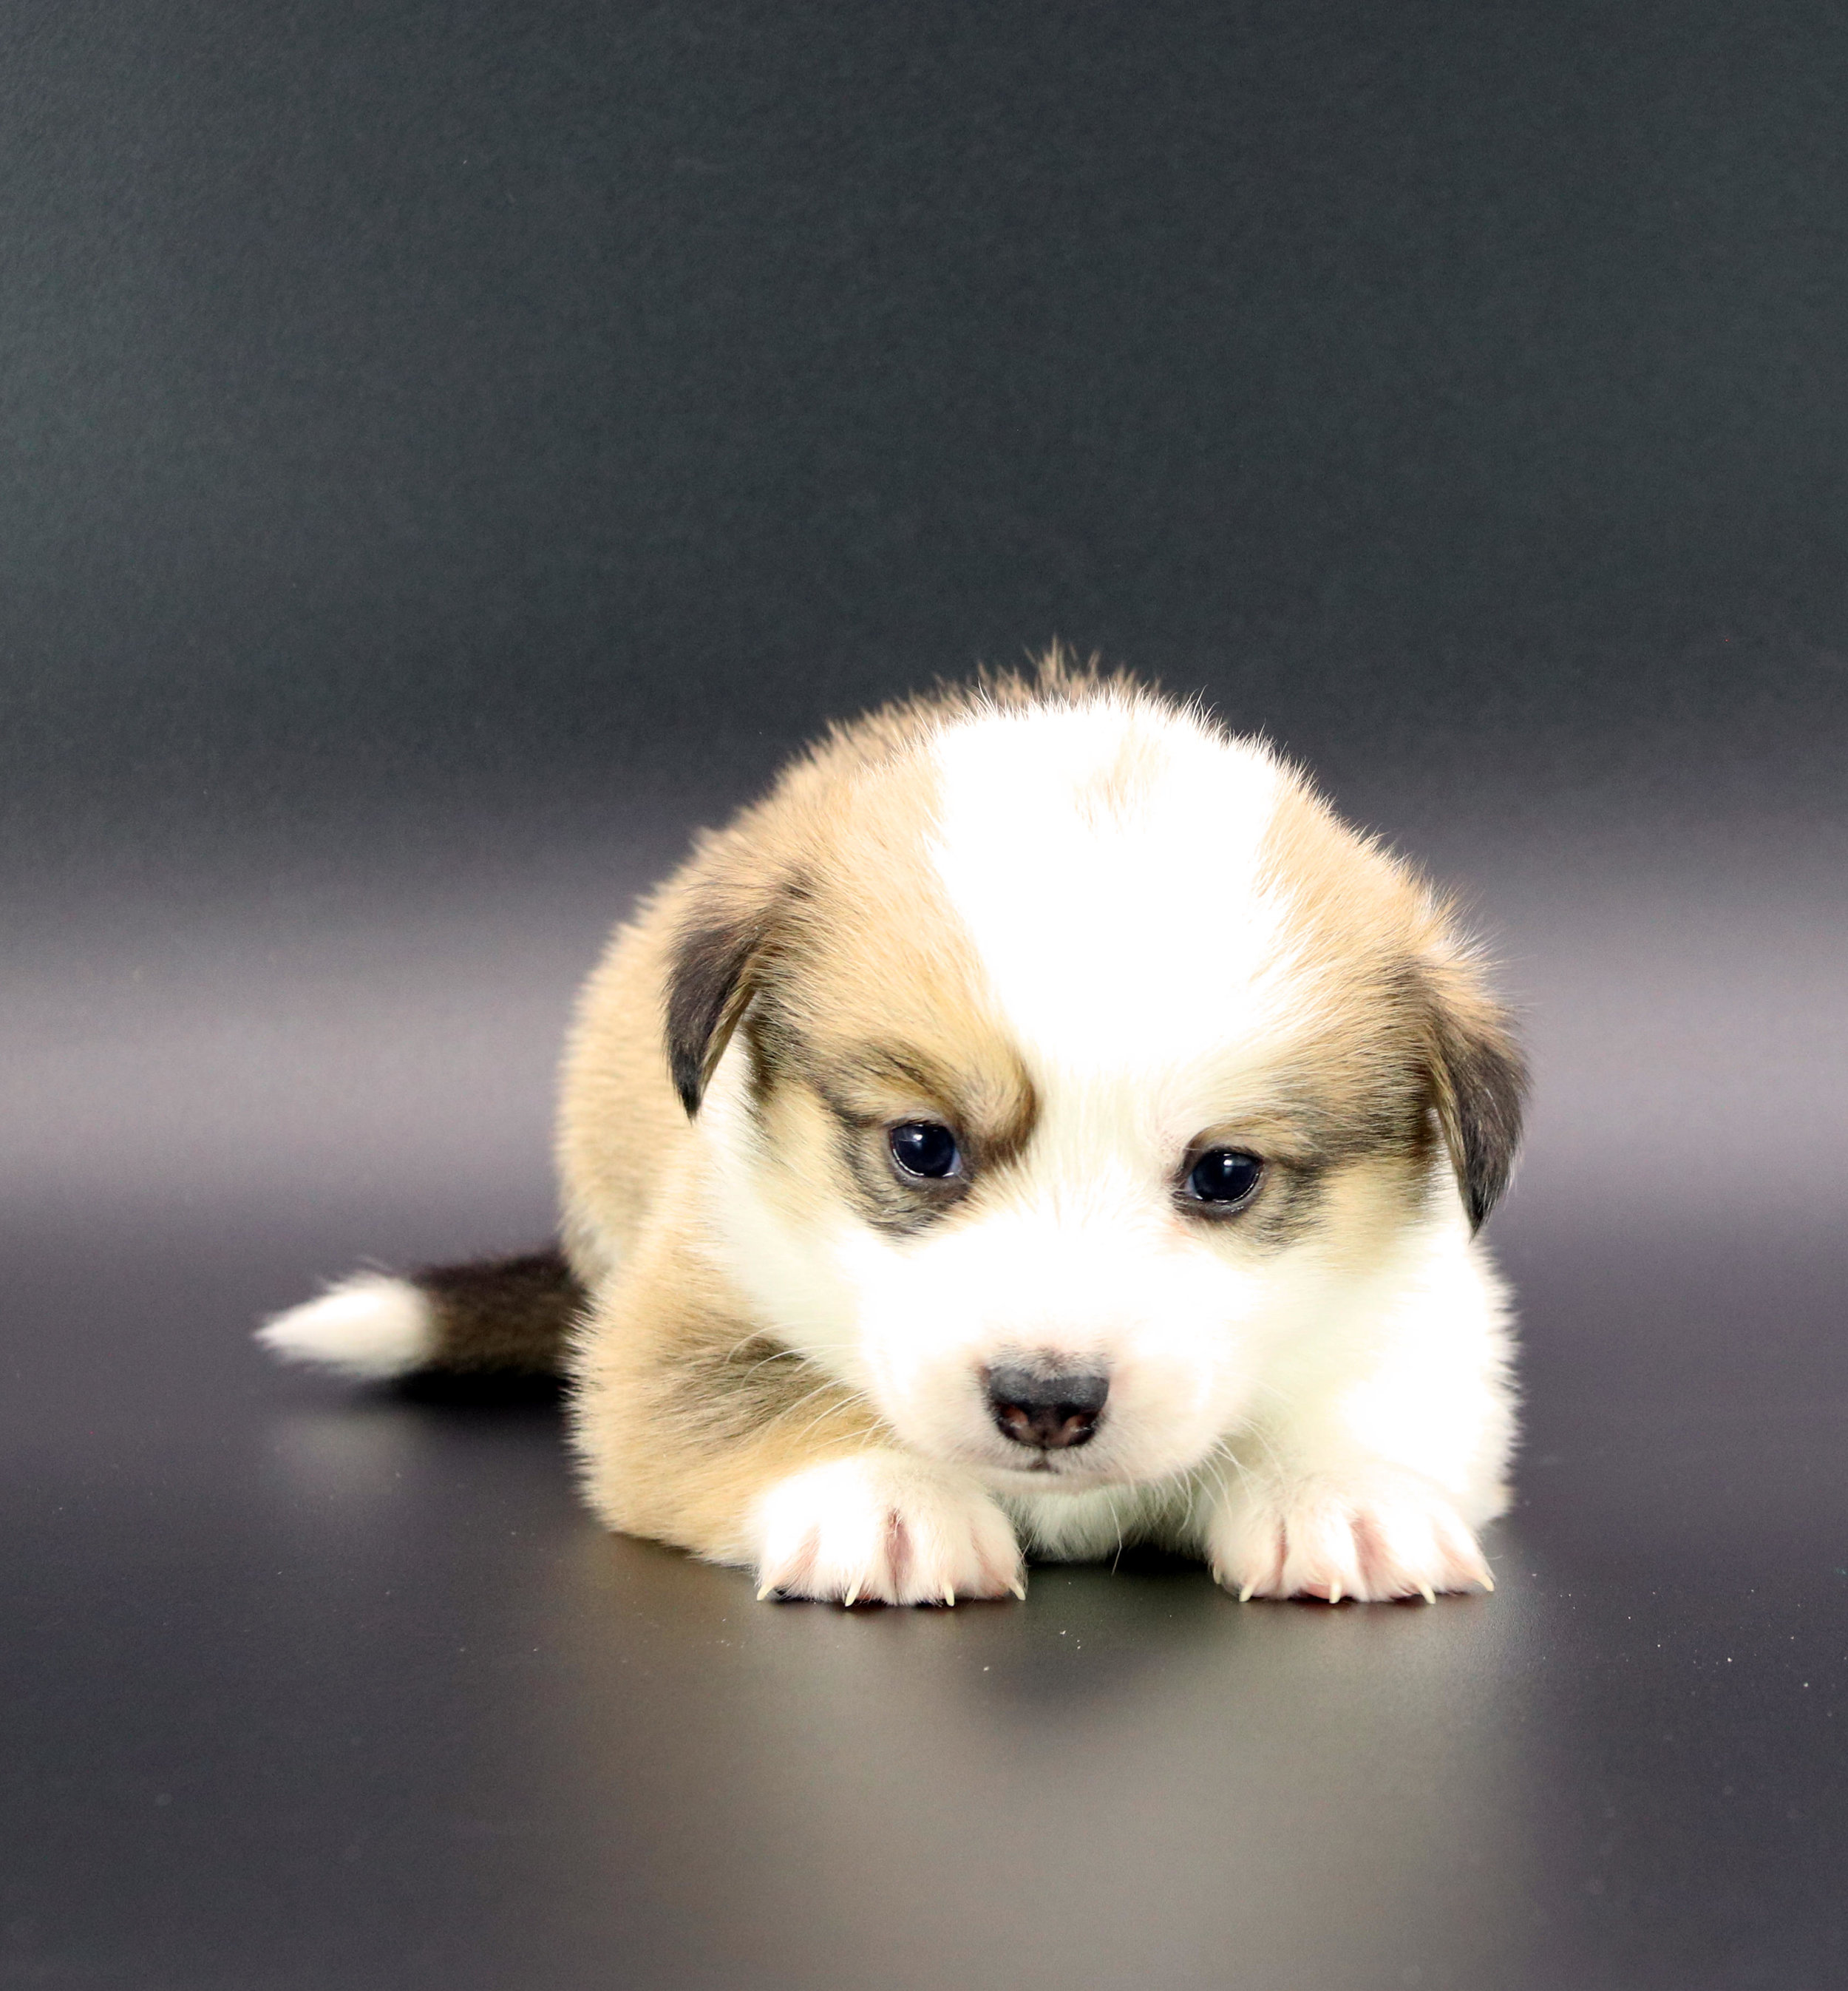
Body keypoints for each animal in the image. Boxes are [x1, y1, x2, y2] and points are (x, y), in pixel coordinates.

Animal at [262, 661, 1529, 1608]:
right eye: (923, 1147)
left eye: (1225, 1173)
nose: (1046, 1402)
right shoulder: (676, 1322)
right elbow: (762, 1404)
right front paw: (884, 1501)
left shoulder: (1433, 1318)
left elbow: (1368, 1398)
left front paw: (1341, 1494)